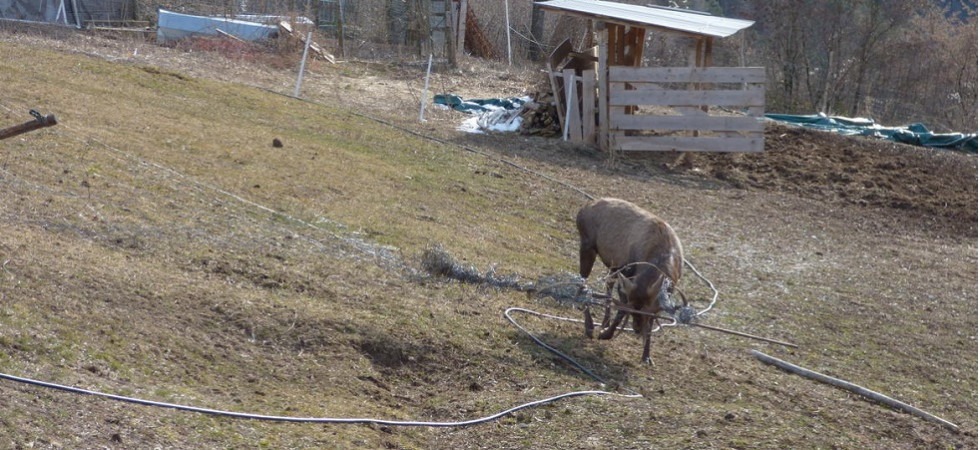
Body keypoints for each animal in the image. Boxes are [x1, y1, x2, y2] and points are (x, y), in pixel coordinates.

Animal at [576, 197, 687, 364]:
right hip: (587, 245)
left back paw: (603, 322)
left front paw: (646, 356)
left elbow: (652, 318)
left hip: (613, 265)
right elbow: (622, 309)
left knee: (607, 283)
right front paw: (605, 334)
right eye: (634, 311)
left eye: (645, 312)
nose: (637, 329)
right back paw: (589, 327)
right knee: (584, 282)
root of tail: (583, 208)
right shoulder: (628, 276)